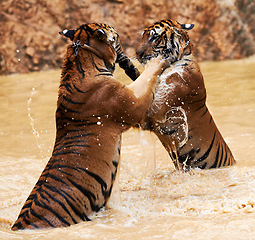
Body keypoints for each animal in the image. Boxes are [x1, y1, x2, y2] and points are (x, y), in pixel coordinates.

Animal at [11, 23, 169, 231]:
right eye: (116, 34)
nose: (125, 44)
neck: (83, 56)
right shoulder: (131, 104)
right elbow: (147, 78)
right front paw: (159, 60)